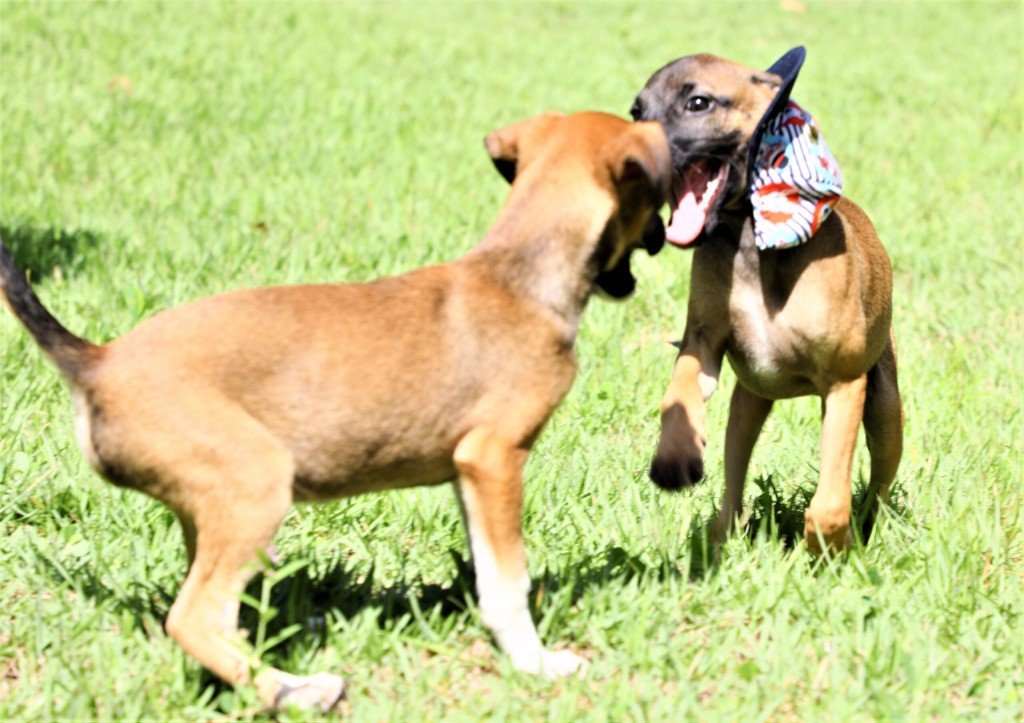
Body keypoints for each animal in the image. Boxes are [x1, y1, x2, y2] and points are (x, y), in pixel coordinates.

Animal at [0, 111, 670, 710]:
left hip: (210, 502)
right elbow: (509, 582)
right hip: (256, 482)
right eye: (651, 204)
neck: (518, 273)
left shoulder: (466, 471)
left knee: (215, 609)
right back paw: (294, 691)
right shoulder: (495, 458)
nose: (664, 239)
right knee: (191, 617)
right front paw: (535, 663)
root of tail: (97, 360)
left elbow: (484, 568)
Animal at [631, 48, 903, 553]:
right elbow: (679, 393)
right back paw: (719, 538)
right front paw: (675, 454)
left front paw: (828, 547)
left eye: (698, 102)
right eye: (636, 111)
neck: (754, 237)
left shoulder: (844, 385)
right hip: (749, 404)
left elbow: (829, 502)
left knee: (877, 485)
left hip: (885, 411)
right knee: (733, 482)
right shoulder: (702, 345)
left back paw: (865, 532)